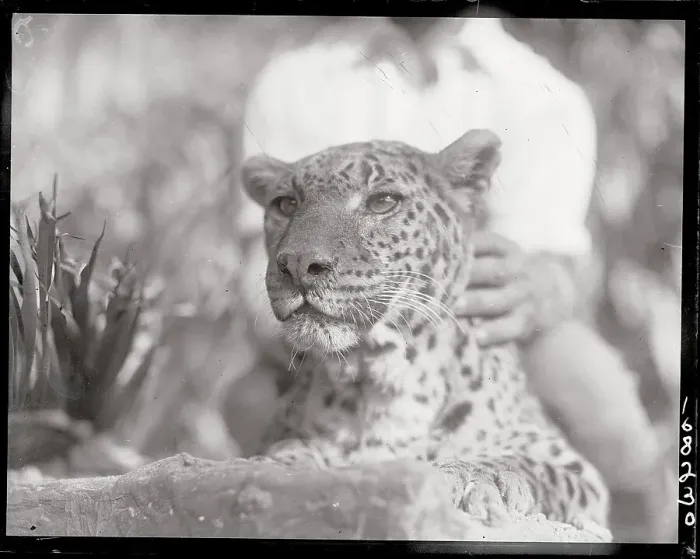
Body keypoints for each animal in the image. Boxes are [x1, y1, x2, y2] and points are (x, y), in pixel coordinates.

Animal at [240, 128, 611, 534]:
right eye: (286, 204)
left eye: (383, 201)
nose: (297, 264)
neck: (381, 378)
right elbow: (292, 452)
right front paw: (289, 459)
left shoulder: (573, 467)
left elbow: (529, 466)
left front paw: (475, 475)